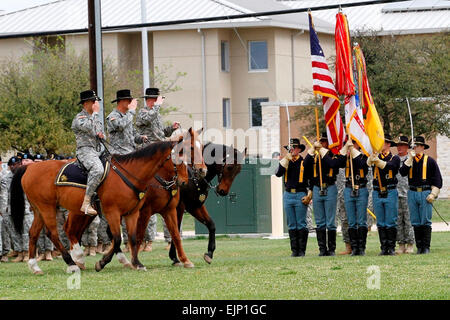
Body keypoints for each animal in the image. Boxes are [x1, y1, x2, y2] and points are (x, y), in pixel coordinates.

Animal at [10, 136, 188, 274]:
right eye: (178, 158)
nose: (185, 181)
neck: (131, 174)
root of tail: (30, 167)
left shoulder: (133, 213)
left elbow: (132, 237)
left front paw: (137, 263)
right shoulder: (112, 212)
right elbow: (117, 238)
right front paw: (102, 263)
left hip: (40, 209)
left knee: (34, 233)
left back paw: (36, 266)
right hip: (48, 208)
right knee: (53, 233)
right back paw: (72, 263)